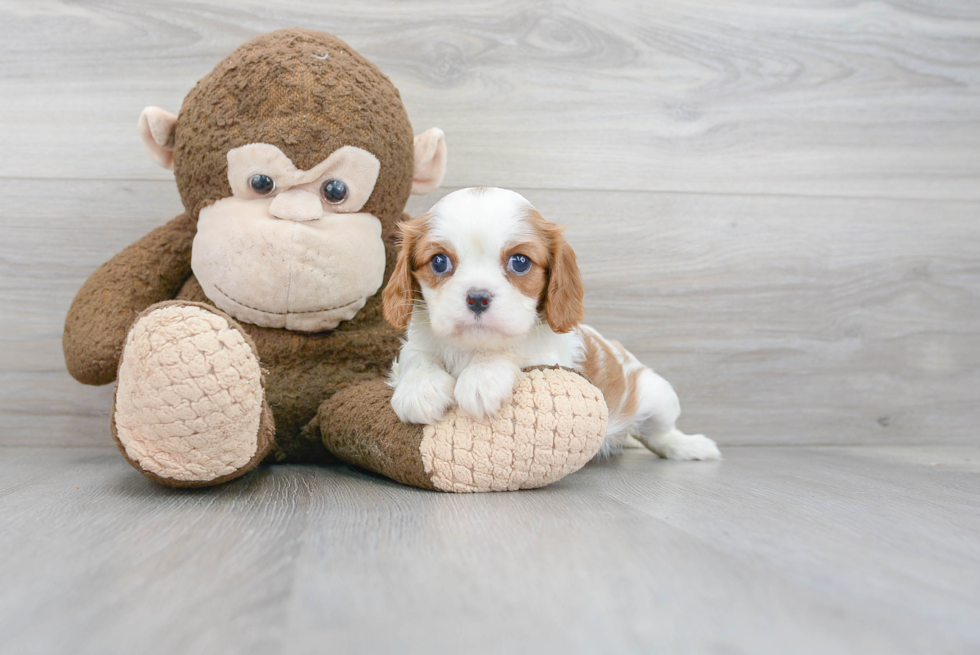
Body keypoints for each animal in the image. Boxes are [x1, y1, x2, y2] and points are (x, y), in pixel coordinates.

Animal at [382, 186, 720, 462]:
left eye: (520, 262)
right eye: (439, 262)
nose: (478, 298)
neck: (472, 347)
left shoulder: (553, 358)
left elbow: (513, 349)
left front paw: (481, 378)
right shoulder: (415, 345)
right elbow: (416, 356)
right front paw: (419, 389)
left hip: (658, 395)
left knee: (661, 434)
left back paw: (691, 447)